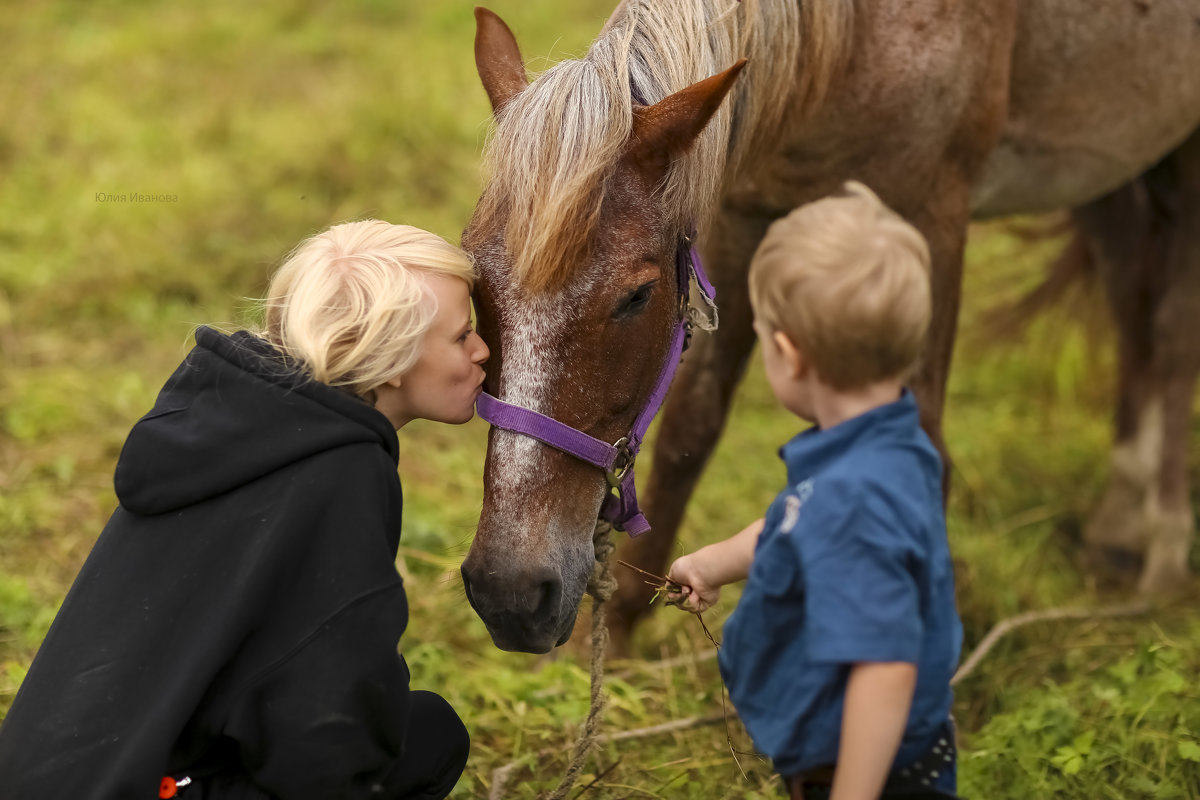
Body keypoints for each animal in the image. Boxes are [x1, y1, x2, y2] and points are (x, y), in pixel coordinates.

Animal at [451, 0, 1200, 652]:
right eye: (476, 277)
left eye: (637, 296)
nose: (509, 593)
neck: (854, 35)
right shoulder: (741, 217)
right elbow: (692, 429)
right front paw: (626, 640)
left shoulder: (932, 218)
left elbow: (926, 441)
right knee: (1133, 306)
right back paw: (1117, 527)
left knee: (1171, 330)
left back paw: (1164, 550)